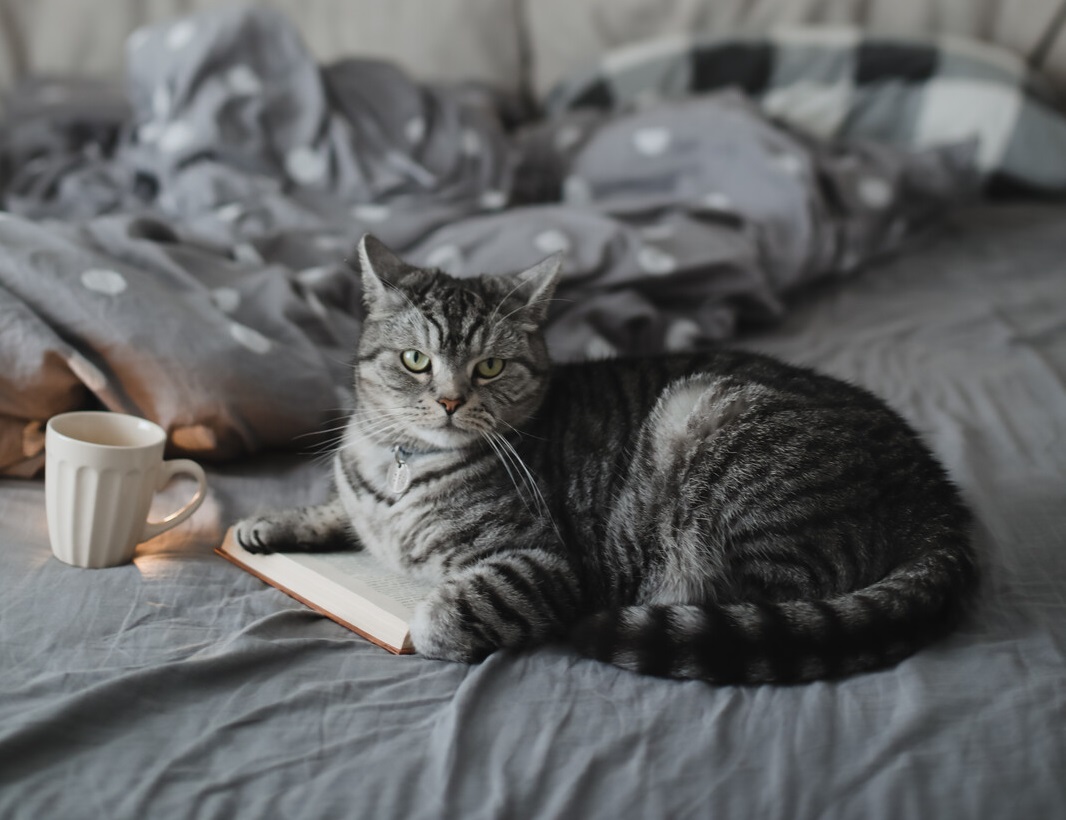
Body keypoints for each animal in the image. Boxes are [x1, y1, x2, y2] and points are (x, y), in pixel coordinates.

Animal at [237, 233, 976, 682]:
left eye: (490, 365)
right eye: (416, 360)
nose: (448, 400)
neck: (398, 465)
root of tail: (935, 487)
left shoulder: (542, 563)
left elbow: (447, 612)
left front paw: (424, 617)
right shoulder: (361, 497)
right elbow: (334, 509)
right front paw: (271, 524)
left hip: (712, 425)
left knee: (764, 602)